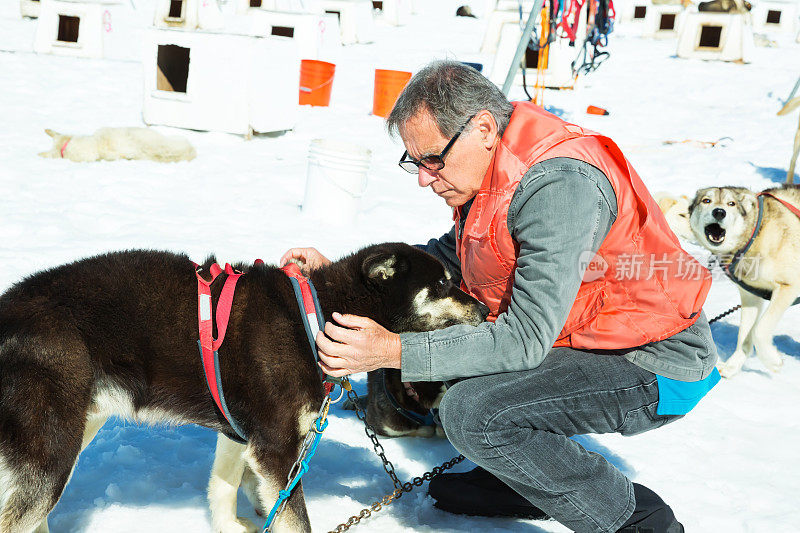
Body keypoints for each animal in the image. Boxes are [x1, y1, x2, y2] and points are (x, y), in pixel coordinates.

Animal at [0, 244, 488, 532]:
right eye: (443, 283)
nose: (486, 309)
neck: (314, 318)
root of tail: (9, 307)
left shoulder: (242, 437)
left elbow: (225, 489)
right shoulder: (275, 447)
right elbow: (294, 519)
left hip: (76, 429)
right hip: (52, 449)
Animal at [688, 185, 800, 376]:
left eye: (731, 203)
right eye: (706, 201)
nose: (719, 212)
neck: (756, 234)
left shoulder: (788, 287)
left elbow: (760, 331)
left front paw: (772, 361)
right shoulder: (750, 296)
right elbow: (744, 336)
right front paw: (732, 367)